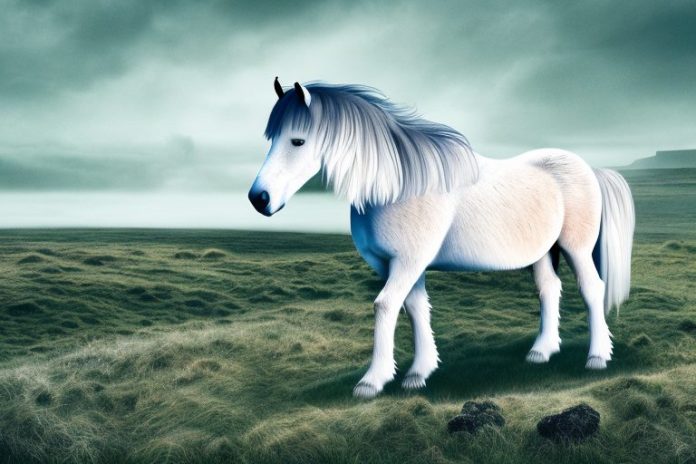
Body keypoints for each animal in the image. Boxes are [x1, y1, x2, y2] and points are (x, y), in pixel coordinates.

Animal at [248, 78, 635, 399]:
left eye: (298, 140)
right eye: (271, 140)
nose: (259, 199)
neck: (400, 186)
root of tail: (590, 169)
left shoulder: (407, 263)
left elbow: (385, 306)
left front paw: (372, 382)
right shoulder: (400, 265)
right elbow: (416, 308)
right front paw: (419, 373)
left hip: (576, 248)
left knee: (592, 290)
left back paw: (597, 357)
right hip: (542, 251)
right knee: (549, 290)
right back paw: (541, 352)